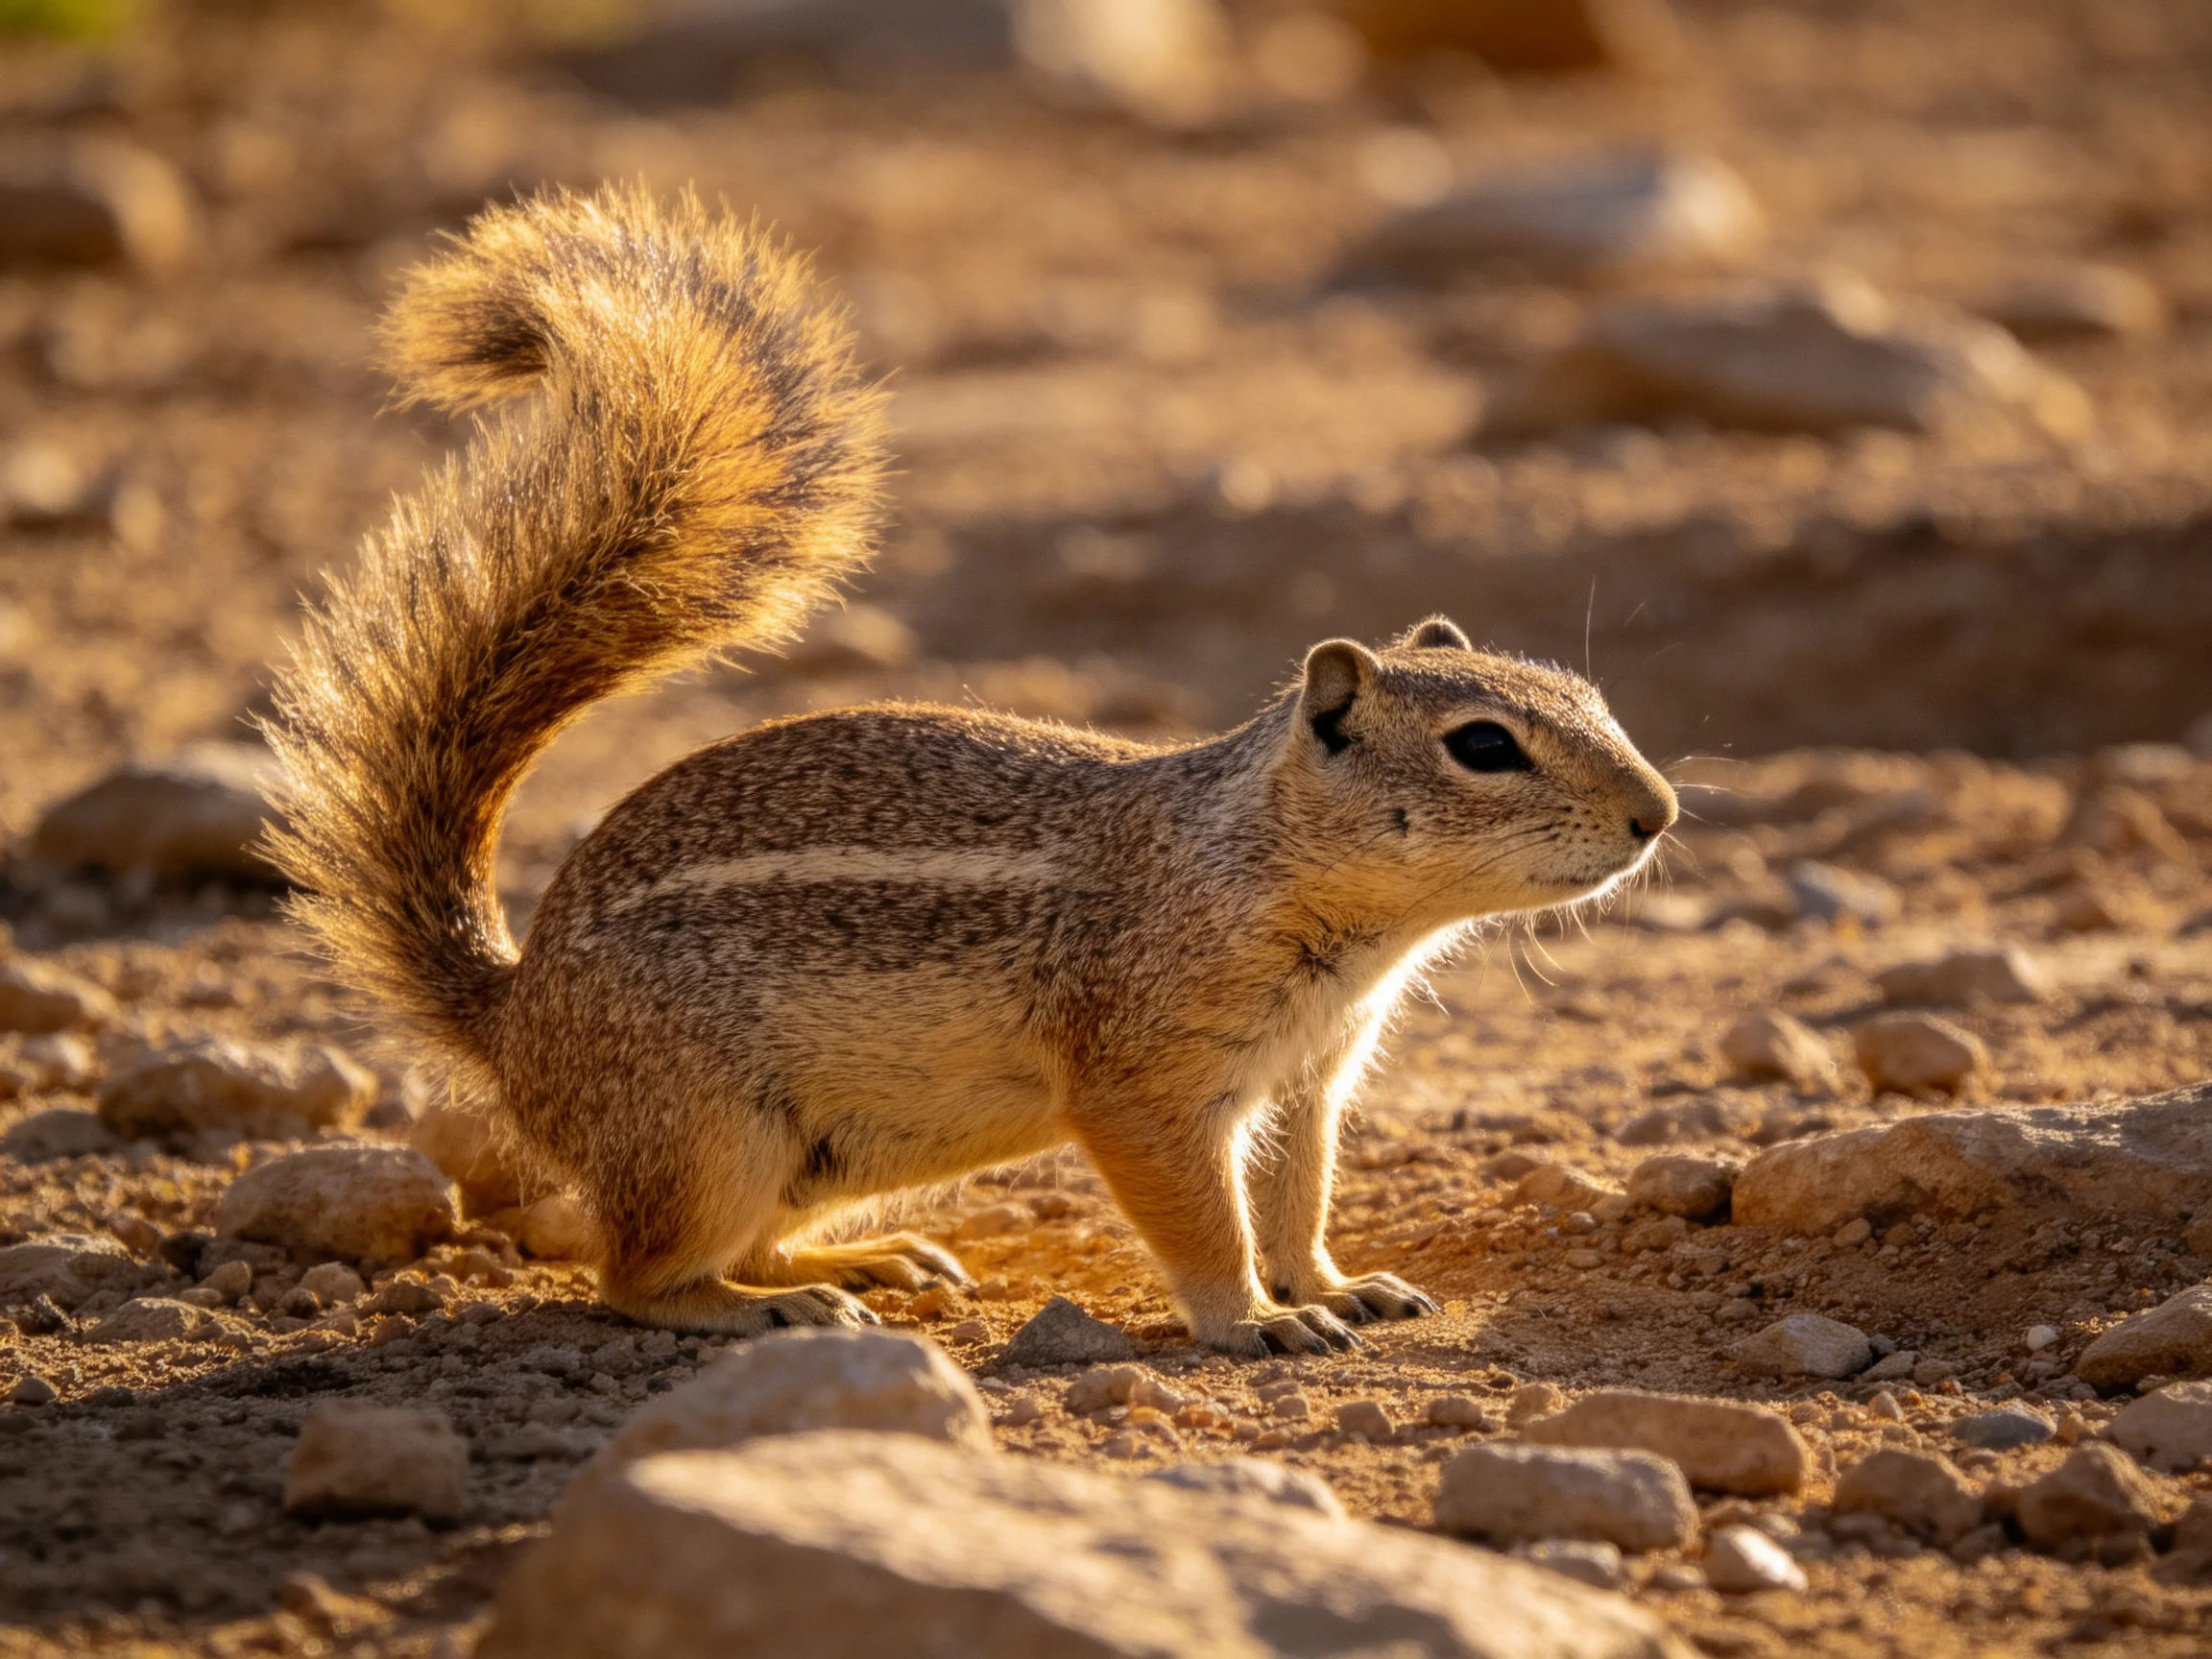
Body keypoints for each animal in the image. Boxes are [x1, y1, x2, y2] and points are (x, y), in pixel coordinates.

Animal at [265, 185, 1678, 1356]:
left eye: (1595, 699)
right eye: (1483, 745)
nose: (1657, 815)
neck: (1262, 861)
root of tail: (513, 1015)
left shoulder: (1309, 1081)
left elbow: (1295, 1202)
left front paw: (1338, 1287)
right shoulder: (1144, 1077)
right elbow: (1204, 1219)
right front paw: (1254, 1323)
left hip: (816, 1153)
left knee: (746, 1239)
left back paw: (868, 1263)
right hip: (705, 1129)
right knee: (638, 1278)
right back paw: (774, 1308)